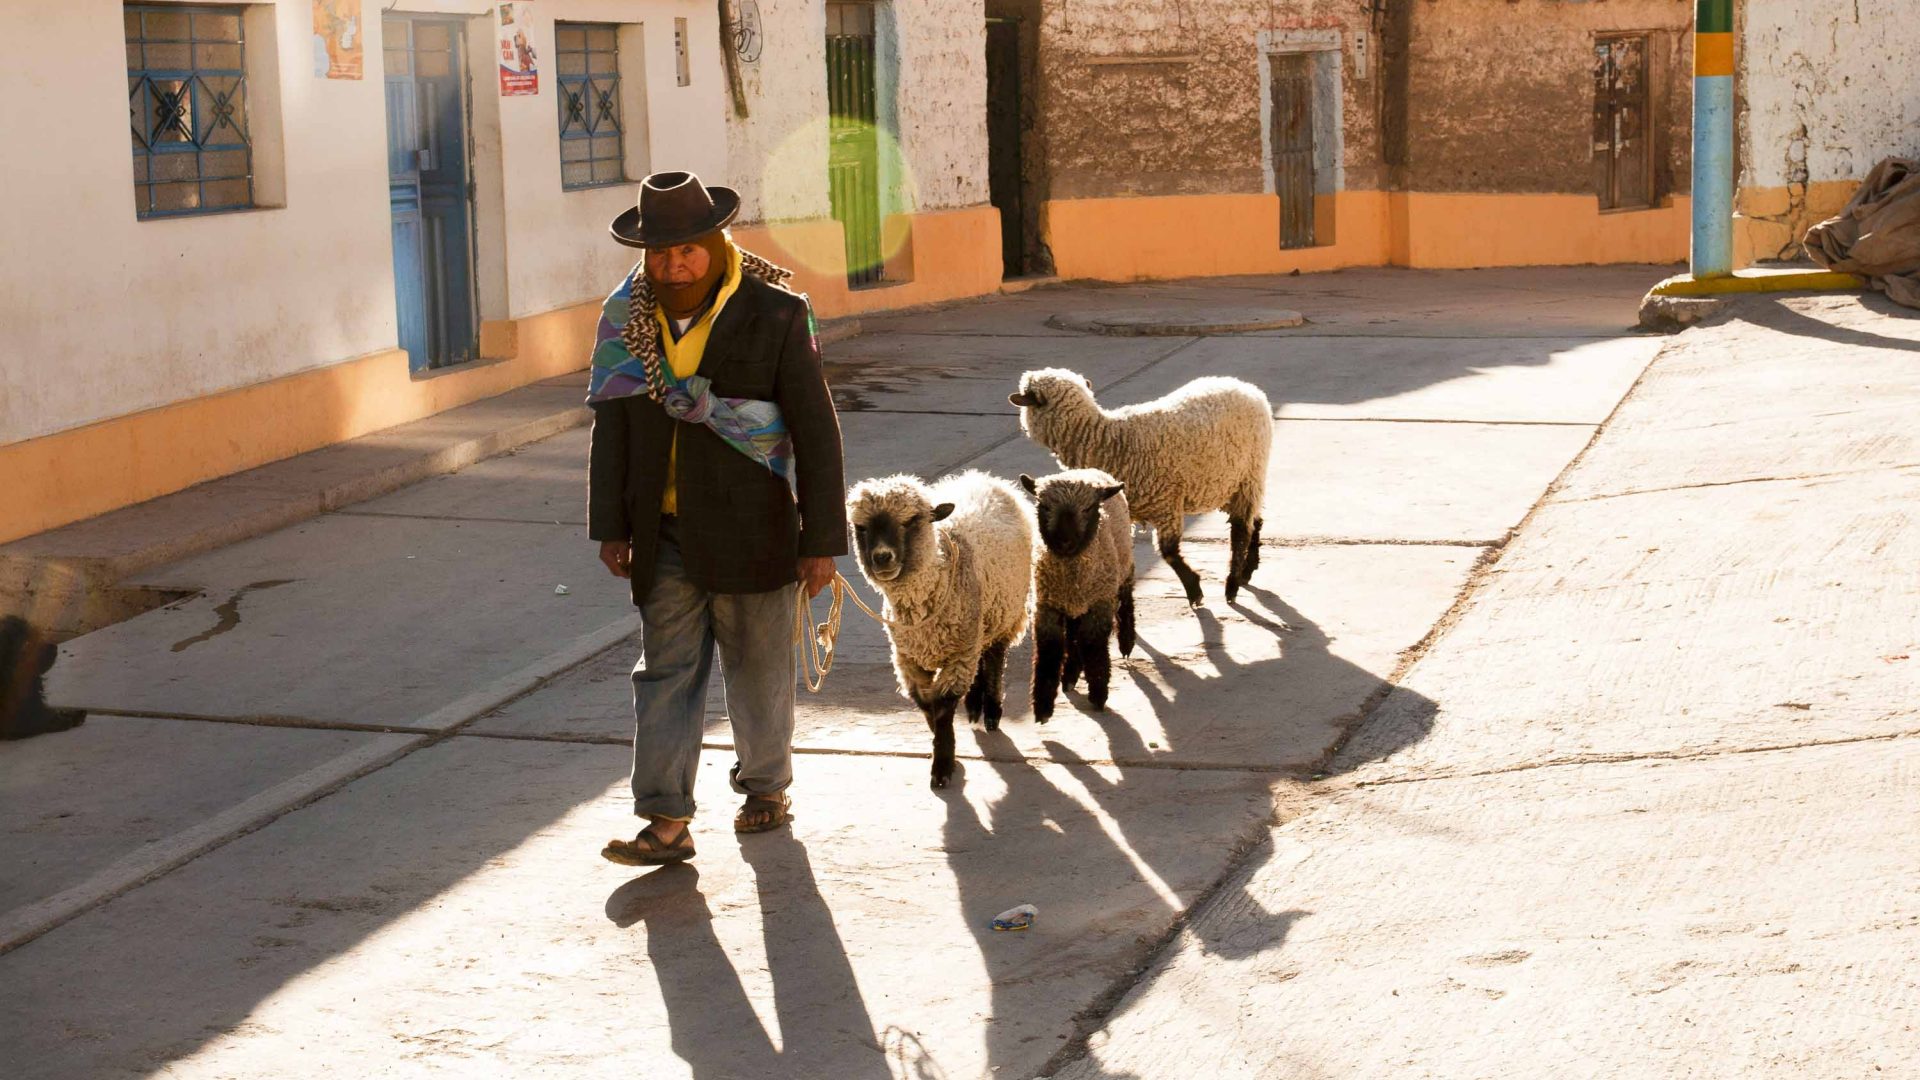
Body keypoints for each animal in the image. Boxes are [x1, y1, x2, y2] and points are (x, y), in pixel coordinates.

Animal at [852, 466, 1036, 787]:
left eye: (910, 521)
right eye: (860, 528)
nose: (882, 557)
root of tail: (986, 479)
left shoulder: (959, 655)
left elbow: (944, 707)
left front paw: (942, 767)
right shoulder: (908, 658)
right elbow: (927, 704)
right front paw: (941, 748)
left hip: (1003, 613)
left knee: (994, 658)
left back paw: (991, 711)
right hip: (978, 624)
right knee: (981, 656)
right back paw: (974, 706)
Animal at [1006, 368, 1274, 607]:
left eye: (1026, 393)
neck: (1105, 438)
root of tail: (1247, 388)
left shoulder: (1166, 503)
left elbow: (1168, 551)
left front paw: (1194, 589)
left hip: (1249, 473)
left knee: (1241, 529)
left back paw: (1232, 585)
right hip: (1229, 482)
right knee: (1255, 519)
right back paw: (1247, 569)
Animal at [1029, 465, 1128, 722]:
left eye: (1088, 508)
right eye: (1044, 506)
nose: (1064, 542)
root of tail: (1086, 469)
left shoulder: (1100, 602)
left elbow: (1093, 645)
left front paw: (1099, 695)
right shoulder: (1047, 605)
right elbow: (1050, 650)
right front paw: (1042, 707)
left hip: (1123, 567)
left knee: (1127, 600)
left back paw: (1127, 642)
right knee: (1073, 636)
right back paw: (1070, 675)